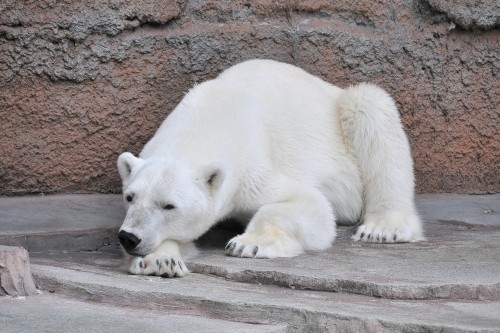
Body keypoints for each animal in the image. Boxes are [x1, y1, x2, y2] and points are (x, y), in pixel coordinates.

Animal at [116, 58, 422, 276]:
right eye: (130, 197)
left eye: (169, 205)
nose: (128, 237)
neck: (206, 121)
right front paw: (161, 260)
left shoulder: (254, 164)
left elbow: (310, 206)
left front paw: (247, 243)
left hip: (345, 115)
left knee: (372, 108)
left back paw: (382, 228)